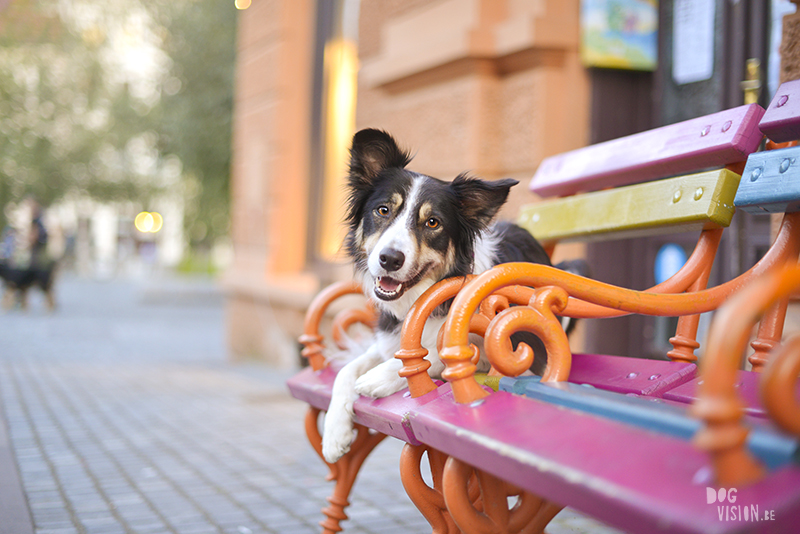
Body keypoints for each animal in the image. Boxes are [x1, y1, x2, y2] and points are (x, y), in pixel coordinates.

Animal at [324, 130, 556, 464]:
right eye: (383, 210)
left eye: (432, 222)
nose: (389, 259)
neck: (420, 297)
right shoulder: (385, 340)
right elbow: (346, 370)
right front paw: (334, 435)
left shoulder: (521, 356)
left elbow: (438, 355)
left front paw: (378, 378)